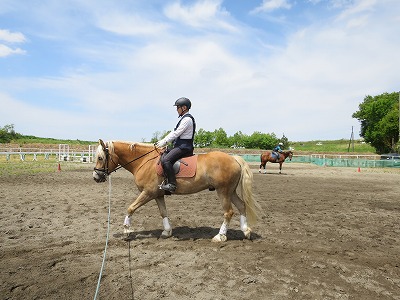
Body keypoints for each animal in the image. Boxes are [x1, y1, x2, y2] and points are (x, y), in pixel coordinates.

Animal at [93, 140, 262, 241]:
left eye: (100, 158)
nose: (96, 177)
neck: (143, 161)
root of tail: (234, 158)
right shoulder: (158, 194)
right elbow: (163, 212)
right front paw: (167, 231)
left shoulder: (147, 193)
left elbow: (131, 208)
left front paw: (127, 230)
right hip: (231, 191)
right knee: (241, 206)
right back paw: (246, 231)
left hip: (223, 191)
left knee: (228, 212)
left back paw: (220, 236)